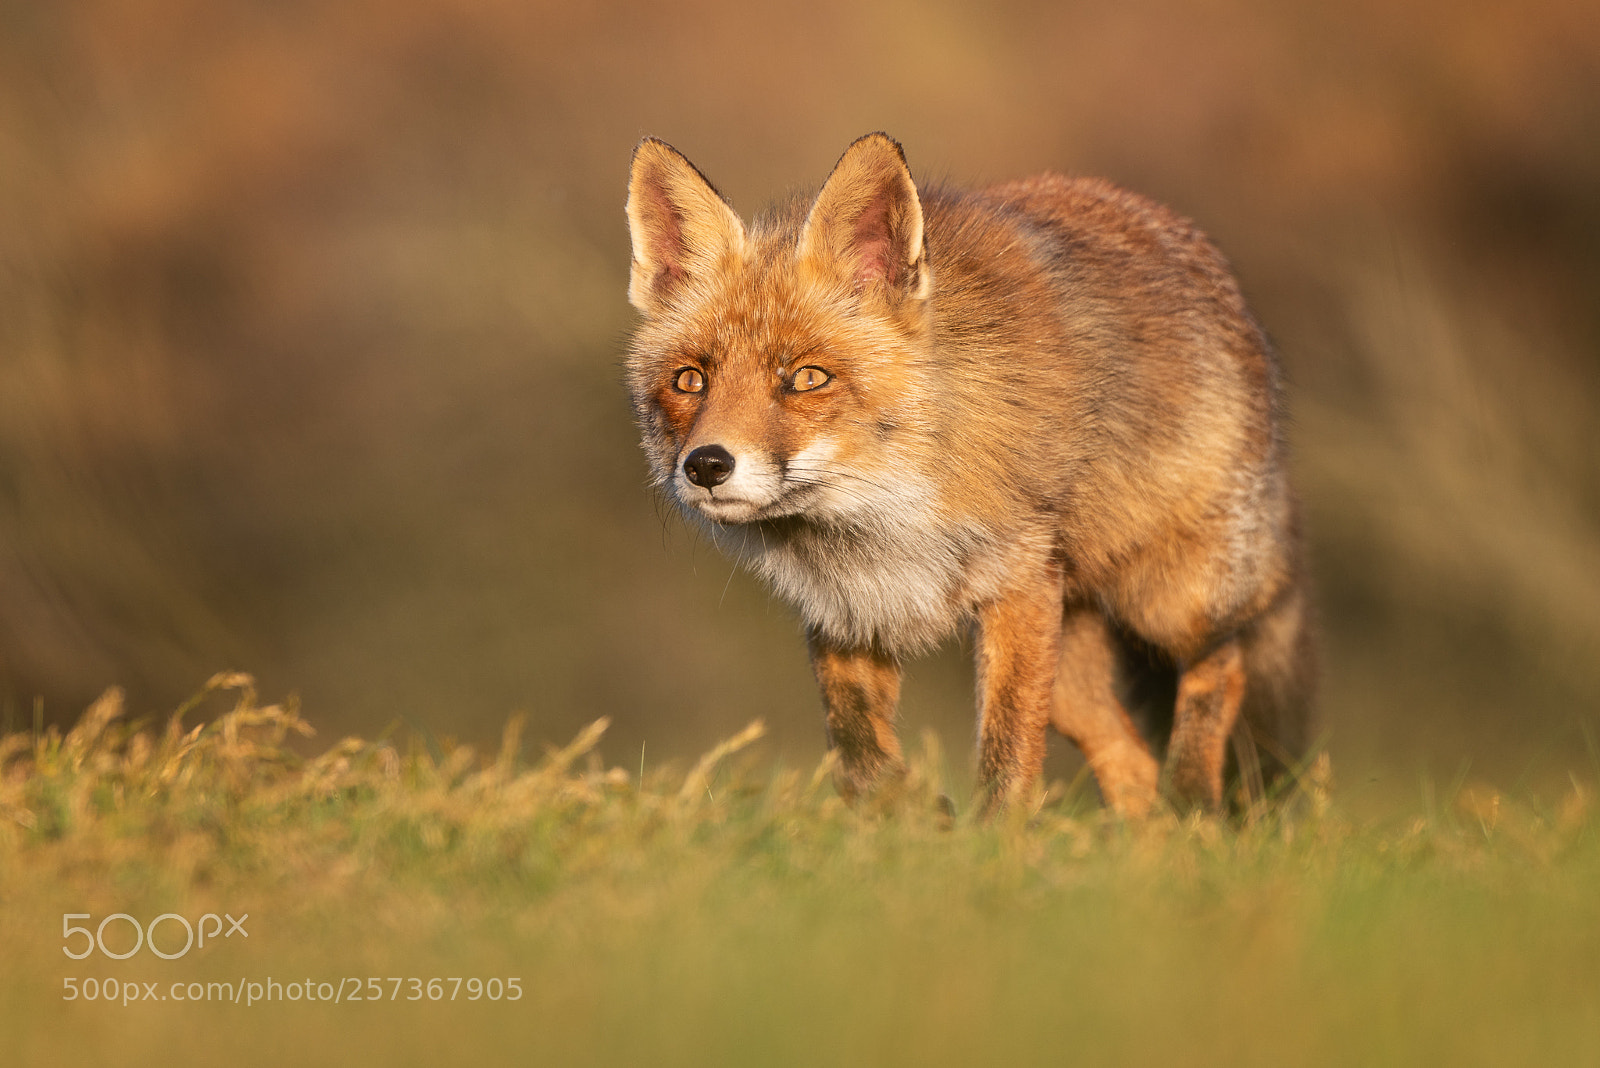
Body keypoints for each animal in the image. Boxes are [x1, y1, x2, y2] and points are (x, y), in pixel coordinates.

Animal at [624, 132, 1314, 816]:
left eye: (808, 377)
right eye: (691, 380)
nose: (707, 465)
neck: (880, 518)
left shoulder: (1019, 585)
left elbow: (1005, 756)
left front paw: (994, 841)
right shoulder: (847, 614)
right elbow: (857, 756)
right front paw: (916, 817)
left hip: (1170, 601)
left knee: (1223, 666)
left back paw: (1194, 800)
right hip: (1072, 670)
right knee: (1129, 759)